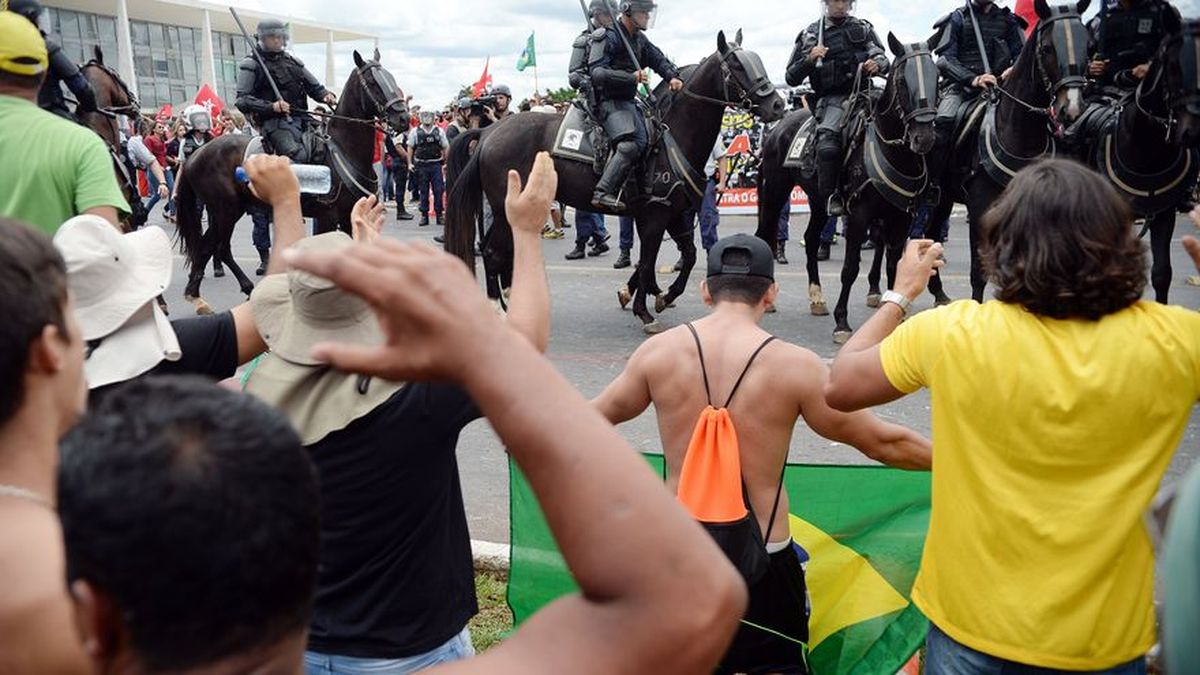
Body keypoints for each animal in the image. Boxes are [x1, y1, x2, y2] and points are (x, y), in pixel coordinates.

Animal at [174, 49, 408, 312]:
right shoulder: (328, 216)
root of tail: (195, 156)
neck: (343, 150)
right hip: (225, 210)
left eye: (390, 77)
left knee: (211, 247)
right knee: (217, 247)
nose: (403, 118)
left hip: (227, 210)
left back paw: (209, 294)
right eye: (373, 83)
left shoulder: (350, 214)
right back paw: (226, 293)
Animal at [446, 30, 782, 331]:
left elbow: (687, 256)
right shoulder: (654, 216)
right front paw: (644, 311)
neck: (672, 137)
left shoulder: (675, 214)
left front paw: (661, 296)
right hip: (506, 208)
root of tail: (489, 131)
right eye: (737, 66)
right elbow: (646, 262)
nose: (777, 105)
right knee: (493, 251)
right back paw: (498, 309)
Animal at [758, 33, 945, 341]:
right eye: (902, 80)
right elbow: (850, 268)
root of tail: (777, 128)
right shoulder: (858, 216)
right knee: (765, 234)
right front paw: (842, 322)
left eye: (937, 78)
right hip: (774, 192)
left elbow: (894, 263)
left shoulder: (901, 218)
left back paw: (817, 298)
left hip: (819, 201)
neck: (889, 149)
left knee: (811, 239)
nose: (924, 138)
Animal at [926, 0, 1099, 299]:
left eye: (1088, 47)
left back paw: (937, 290)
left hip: (945, 196)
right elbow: (979, 273)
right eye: (1047, 48)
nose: (1072, 109)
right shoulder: (979, 208)